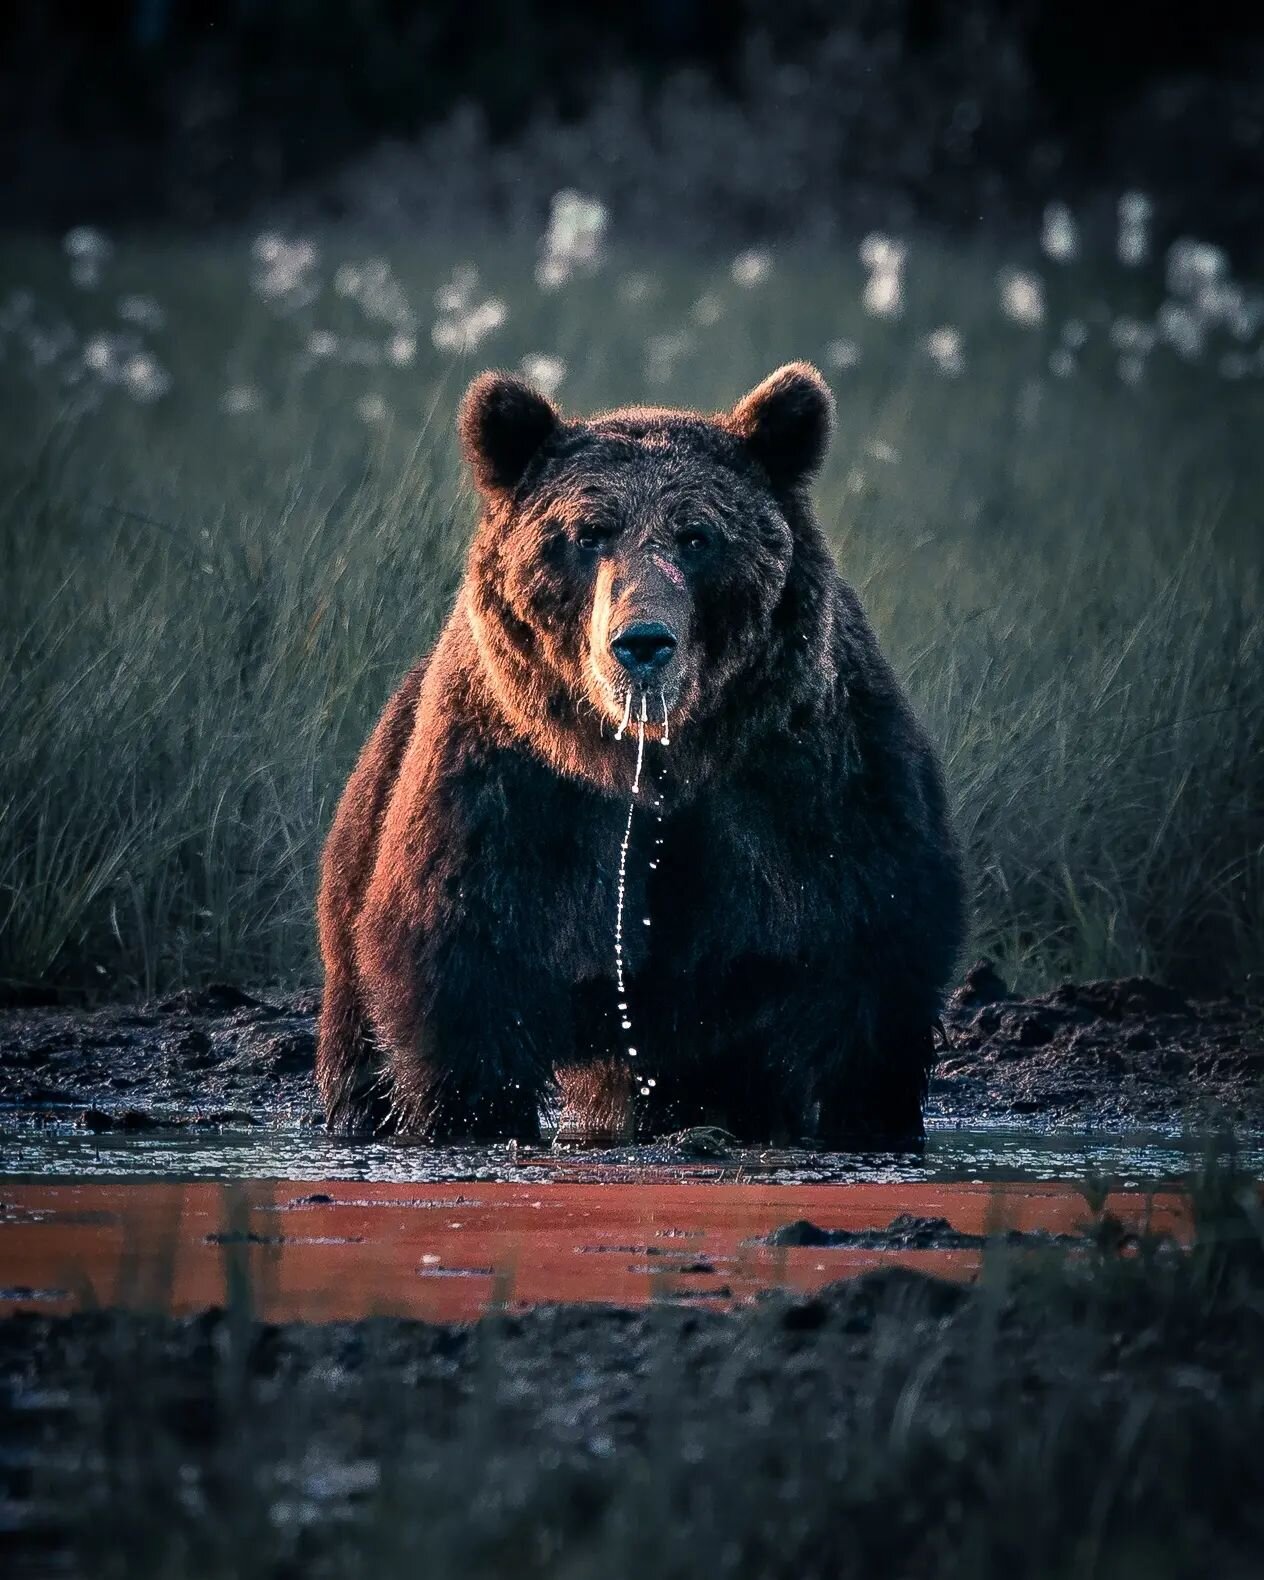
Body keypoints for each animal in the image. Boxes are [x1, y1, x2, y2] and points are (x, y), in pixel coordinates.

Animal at [319, 361, 966, 1143]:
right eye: (588, 533)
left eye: (697, 536)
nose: (643, 643)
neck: (657, 762)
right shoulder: (514, 796)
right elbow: (468, 971)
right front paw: (468, 1115)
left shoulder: (804, 786)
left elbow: (862, 970)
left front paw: (864, 1115)